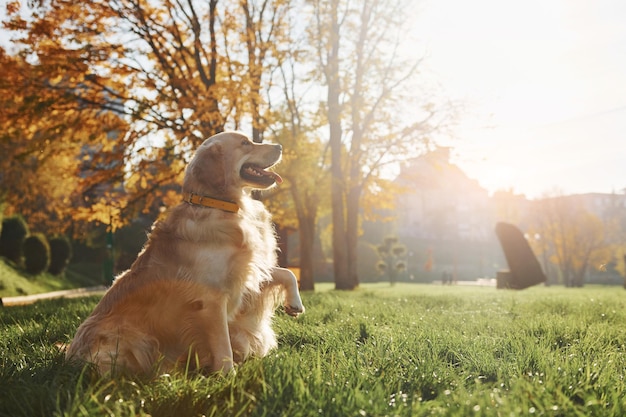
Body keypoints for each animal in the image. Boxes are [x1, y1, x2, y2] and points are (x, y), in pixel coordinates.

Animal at [64, 132, 304, 376]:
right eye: (245, 143)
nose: (280, 146)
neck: (221, 206)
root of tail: (70, 354)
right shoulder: (211, 298)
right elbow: (222, 343)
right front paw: (229, 376)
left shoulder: (246, 273)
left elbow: (285, 272)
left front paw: (295, 303)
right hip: (133, 338)